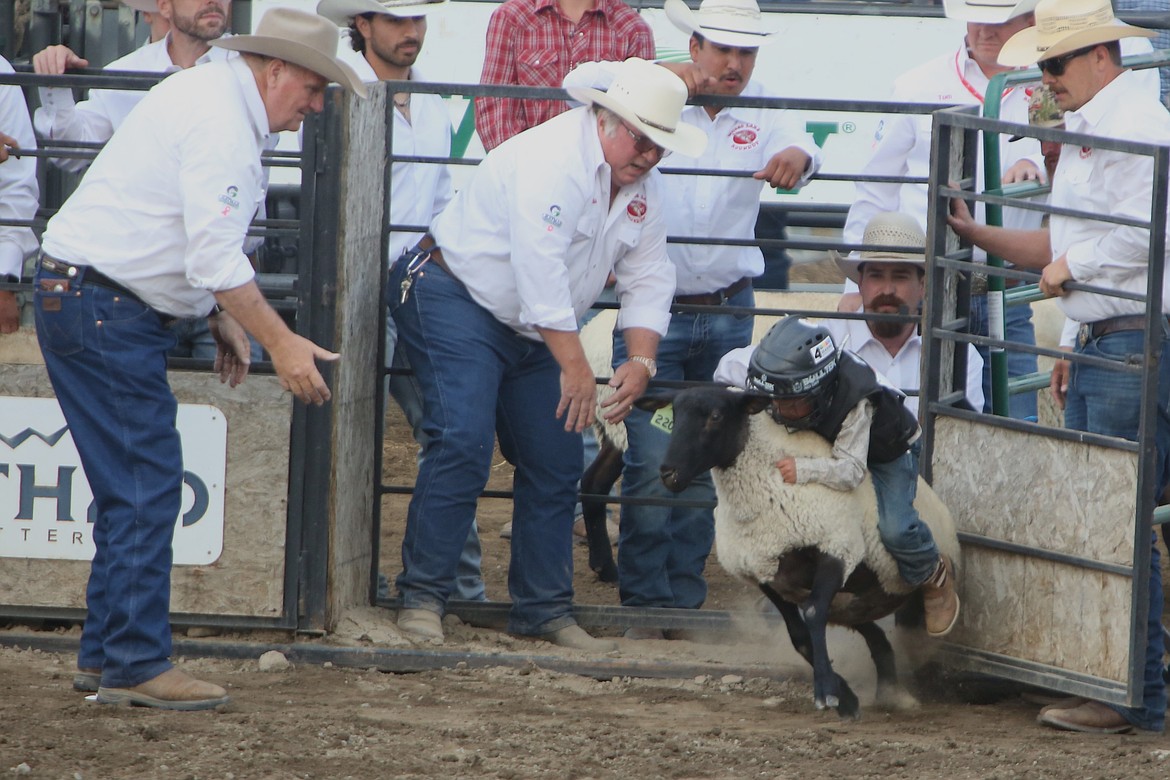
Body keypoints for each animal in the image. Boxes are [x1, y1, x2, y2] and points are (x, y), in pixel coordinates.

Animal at [645, 388, 964, 725]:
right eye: (674, 414)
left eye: (715, 416)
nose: (668, 473)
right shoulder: (769, 574)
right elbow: (799, 637)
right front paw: (845, 698)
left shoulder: (837, 549)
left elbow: (811, 614)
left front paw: (826, 691)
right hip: (851, 604)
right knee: (875, 635)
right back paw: (891, 691)